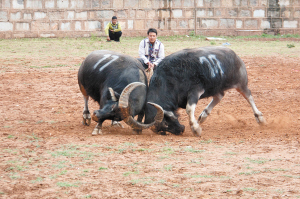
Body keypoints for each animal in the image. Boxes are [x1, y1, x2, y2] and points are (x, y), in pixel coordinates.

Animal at [119, 46, 264, 137]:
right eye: (162, 128)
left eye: (165, 122)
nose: (181, 130)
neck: (169, 78)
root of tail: (235, 55)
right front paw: (196, 123)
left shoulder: (195, 91)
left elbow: (189, 108)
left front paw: (195, 129)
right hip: (215, 87)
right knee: (219, 96)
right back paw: (203, 115)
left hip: (241, 83)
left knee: (249, 96)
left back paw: (259, 118)